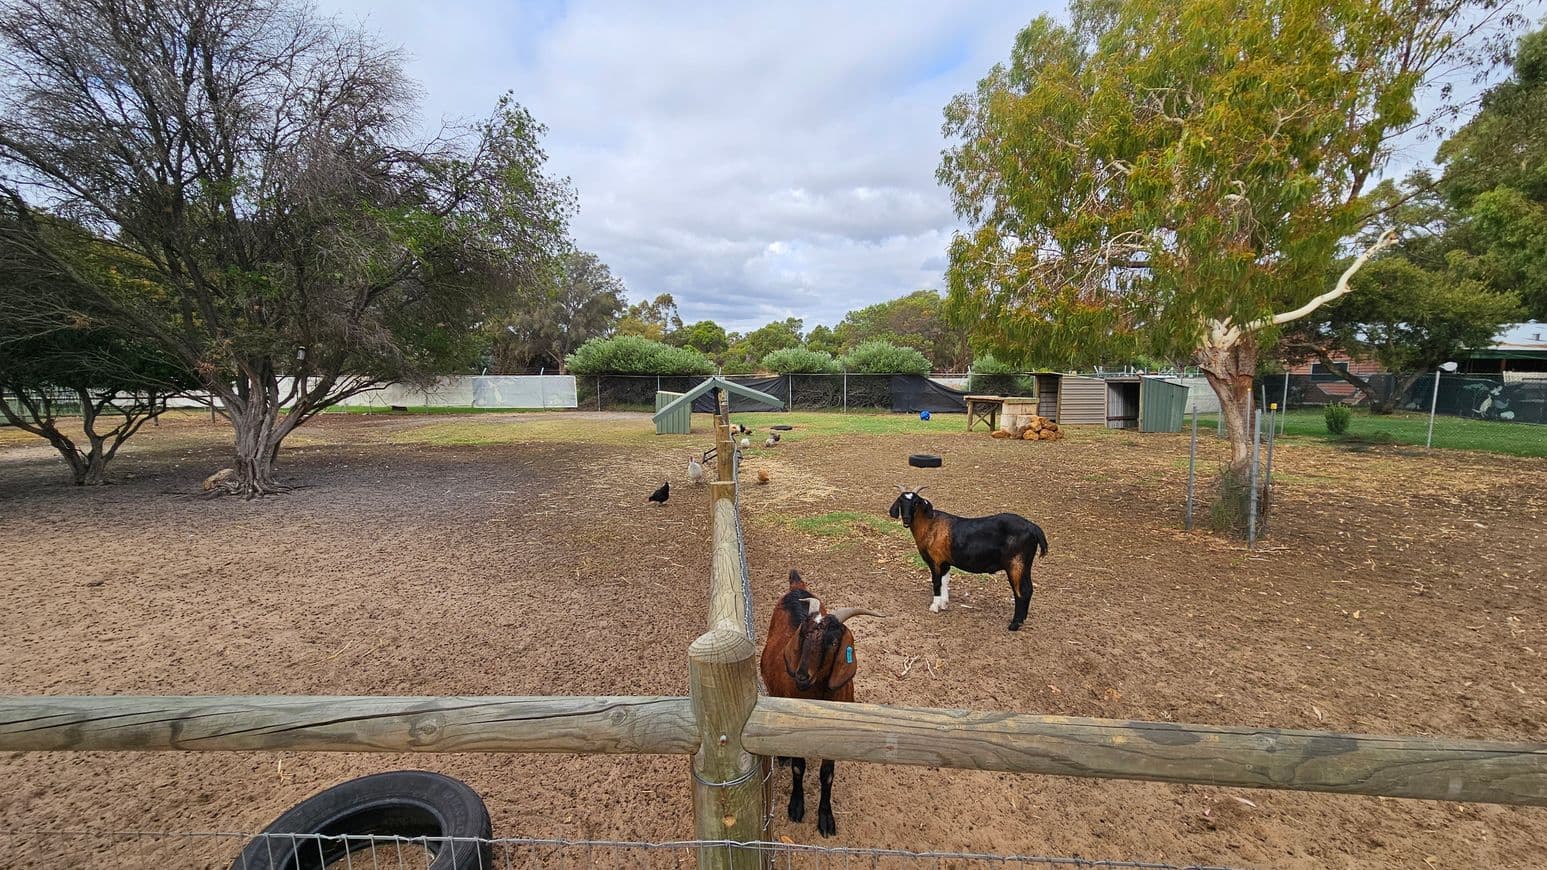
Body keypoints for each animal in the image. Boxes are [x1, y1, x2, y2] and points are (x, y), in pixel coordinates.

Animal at [760, 569, 883, 837]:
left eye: (834, 642)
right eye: (803, 635)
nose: (801, 676)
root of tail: (796, 585)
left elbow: (827, 775)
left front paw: (826, 817)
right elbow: (798, 767)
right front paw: (796, 806)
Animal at [888, 486, 1048, 631]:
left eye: (916, 503)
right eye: (901, 501)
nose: (906, 519)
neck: (930, 524)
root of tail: (1033, 528)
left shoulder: (935, 561)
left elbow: (936, 582)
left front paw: (934, 606)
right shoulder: (945, 563)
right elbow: (944, 582)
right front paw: (944, 604)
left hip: (1016, 564)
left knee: (1021, 591)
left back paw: (1014, 625)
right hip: (1025, 565)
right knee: (1029, 589)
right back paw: (1021, 620)